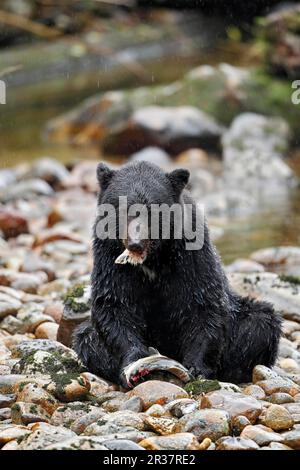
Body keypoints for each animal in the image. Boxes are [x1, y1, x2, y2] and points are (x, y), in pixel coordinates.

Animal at [73, 160, 282, 388]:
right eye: (122, 208)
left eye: (153, 210)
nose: (136, 244)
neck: (154, 259)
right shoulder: (108, 255)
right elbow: (114, 303)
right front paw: (135, 361)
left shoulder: (191, 254)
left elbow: (203, 303)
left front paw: (197, 368)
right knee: (86, 338)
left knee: (259, 323)